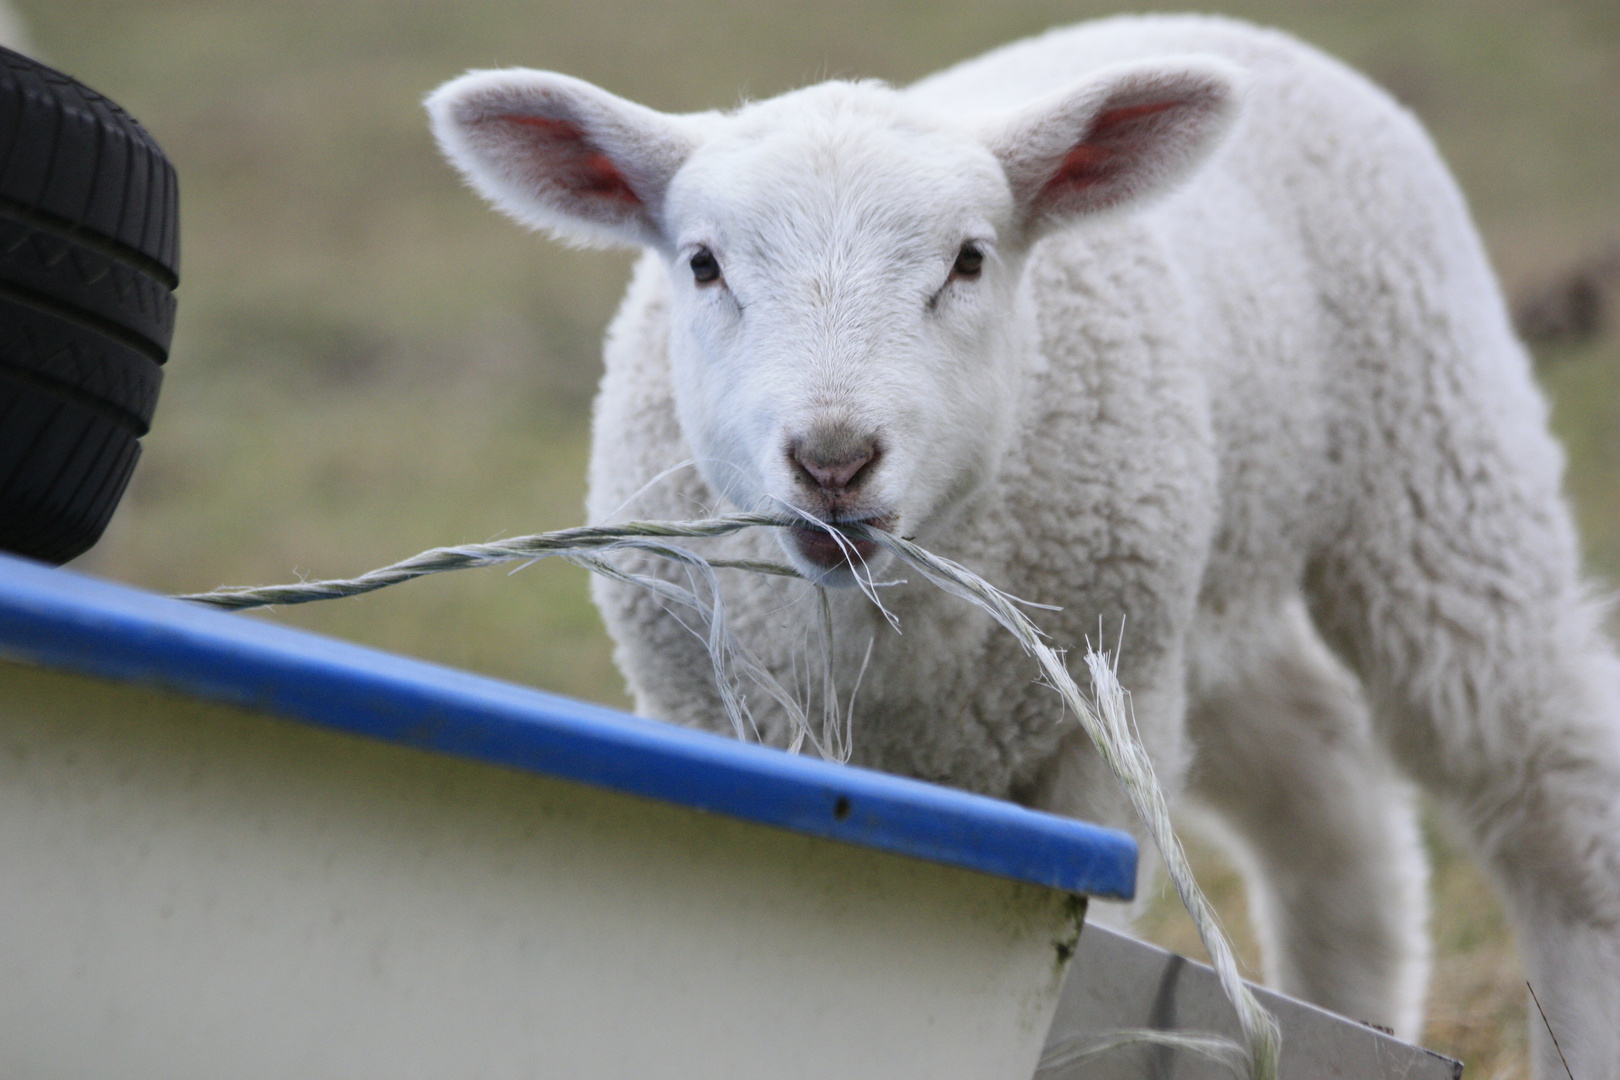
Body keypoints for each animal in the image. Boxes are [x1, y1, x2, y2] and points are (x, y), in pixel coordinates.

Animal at [427, 12, 1620, 1075]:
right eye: (705, 265)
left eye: (968, 260)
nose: (833, 461)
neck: (892, 635)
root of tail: (1230, 25)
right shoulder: (714, 718)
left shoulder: (1102, 742)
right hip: (1206, 588)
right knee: (1325, 777)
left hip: (1433, 473)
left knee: (1554, 790)